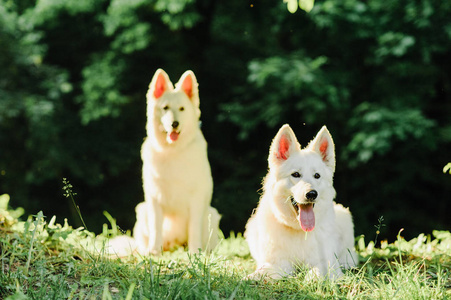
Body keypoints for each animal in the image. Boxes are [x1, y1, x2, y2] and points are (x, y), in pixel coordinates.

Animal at [245, 124, 358, 278]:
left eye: (317, 175)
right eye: (296, 174)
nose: (311, 194)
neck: (299, 230)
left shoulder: (326, 262)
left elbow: (319, 270)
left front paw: (311, 279)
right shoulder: (278, 263)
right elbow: (262, 272)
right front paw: (249, 278)